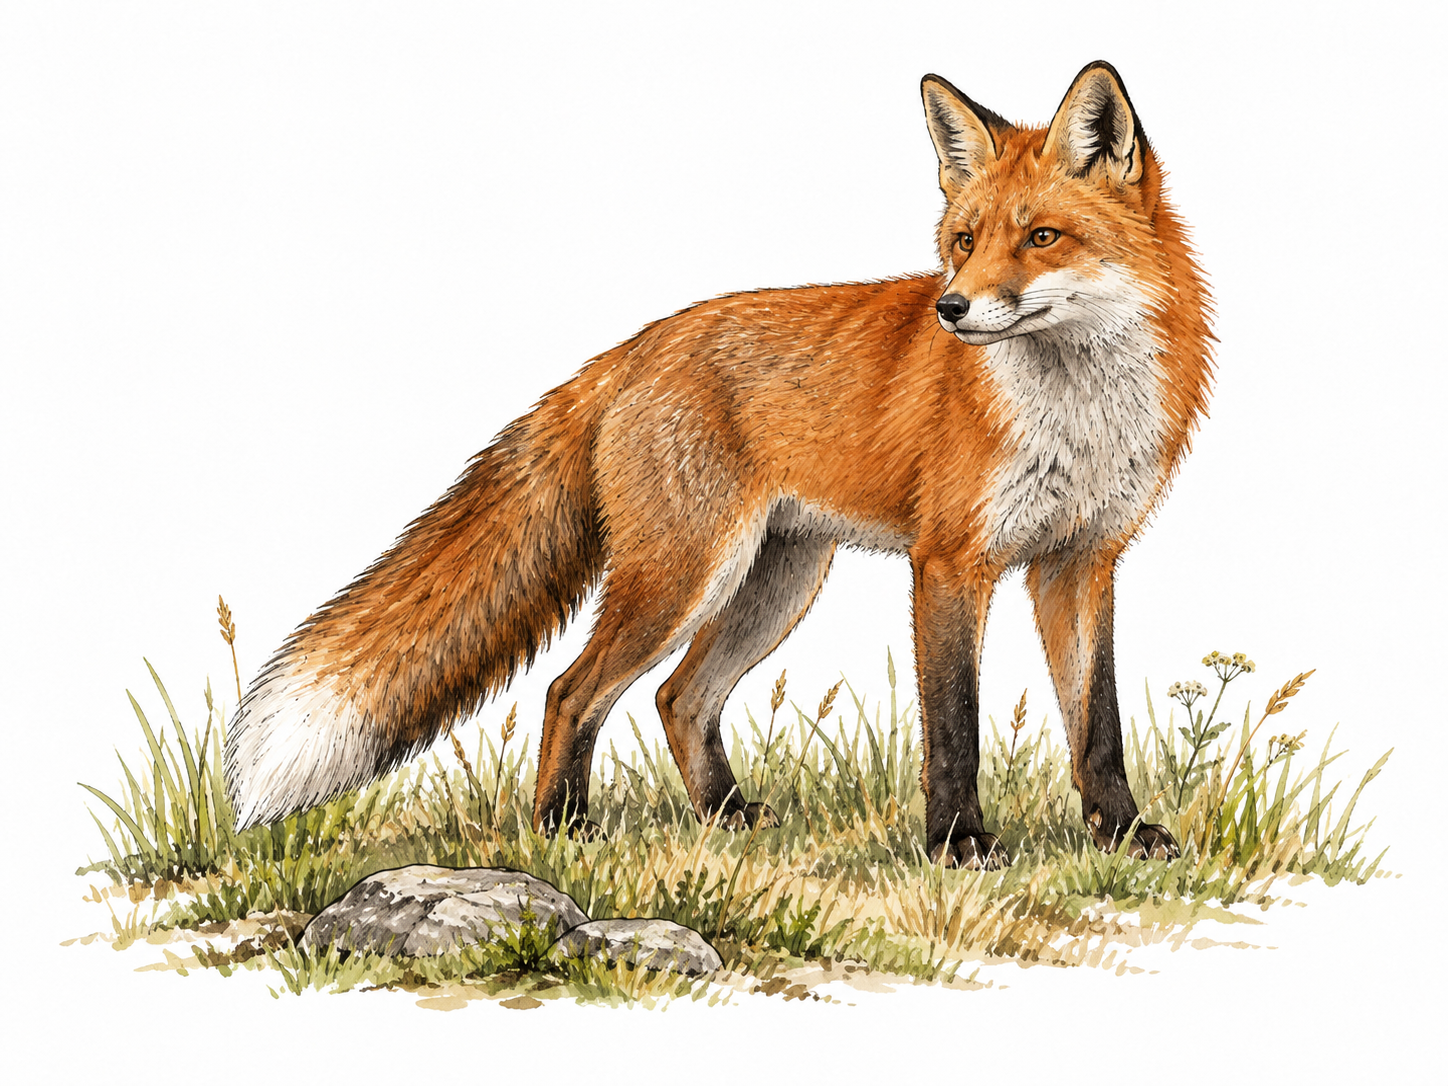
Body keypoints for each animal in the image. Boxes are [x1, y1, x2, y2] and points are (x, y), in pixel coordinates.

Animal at [225, 61, 1212, 868]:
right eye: (964, 241)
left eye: (1041, 238)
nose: (952, 309)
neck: (1077, 417)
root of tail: (632, 348)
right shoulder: (951, 562)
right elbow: (954, 727)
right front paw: (959, 846)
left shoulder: (1079, 561)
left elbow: (1097, 724)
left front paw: (1124, 834)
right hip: (684, 577)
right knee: (571, 690)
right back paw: (563, 830)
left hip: (774, 581)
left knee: (678, 698)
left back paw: (726, 817)